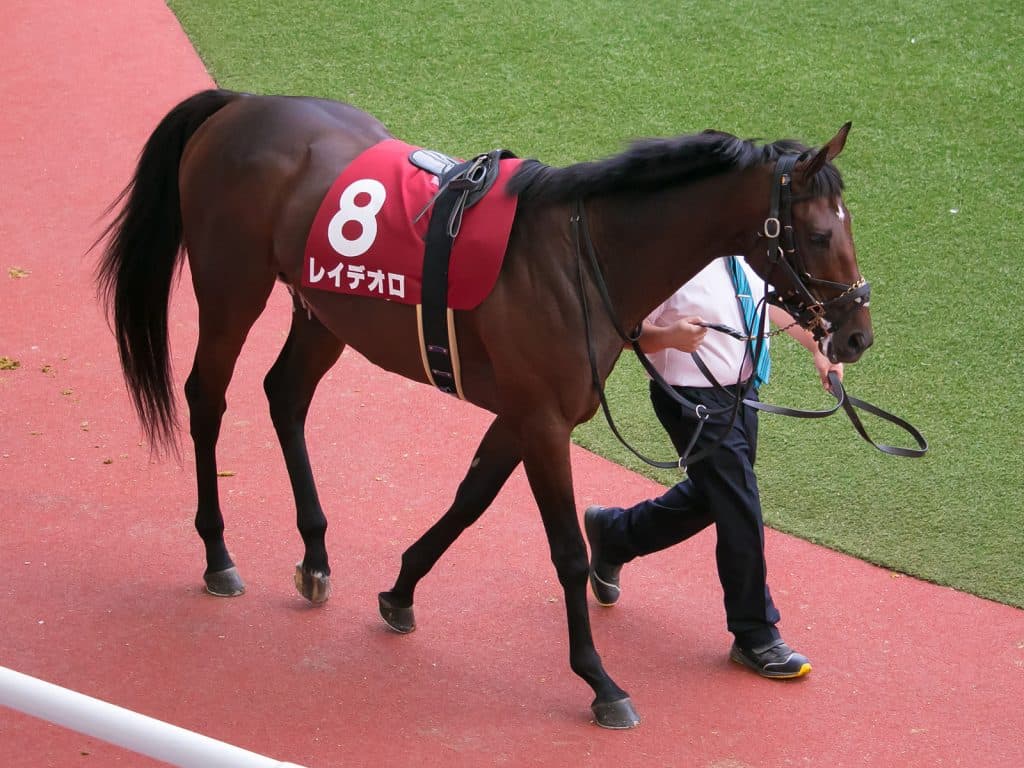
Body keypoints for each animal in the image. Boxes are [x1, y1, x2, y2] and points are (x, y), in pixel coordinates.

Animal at [95, 88, 872, 729]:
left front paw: (401, 590)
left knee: (284, 395)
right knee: (208, 397)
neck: (580, 258)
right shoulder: (545, 423)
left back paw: (315, 554)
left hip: (324, 309)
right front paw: (599, 682)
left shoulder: (525, 414)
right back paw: (217, 554)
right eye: (820, 233)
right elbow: (566, 551)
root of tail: (240, 104)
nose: (857, 335)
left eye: (848, 225)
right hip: (232, 286)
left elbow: (469, 499)